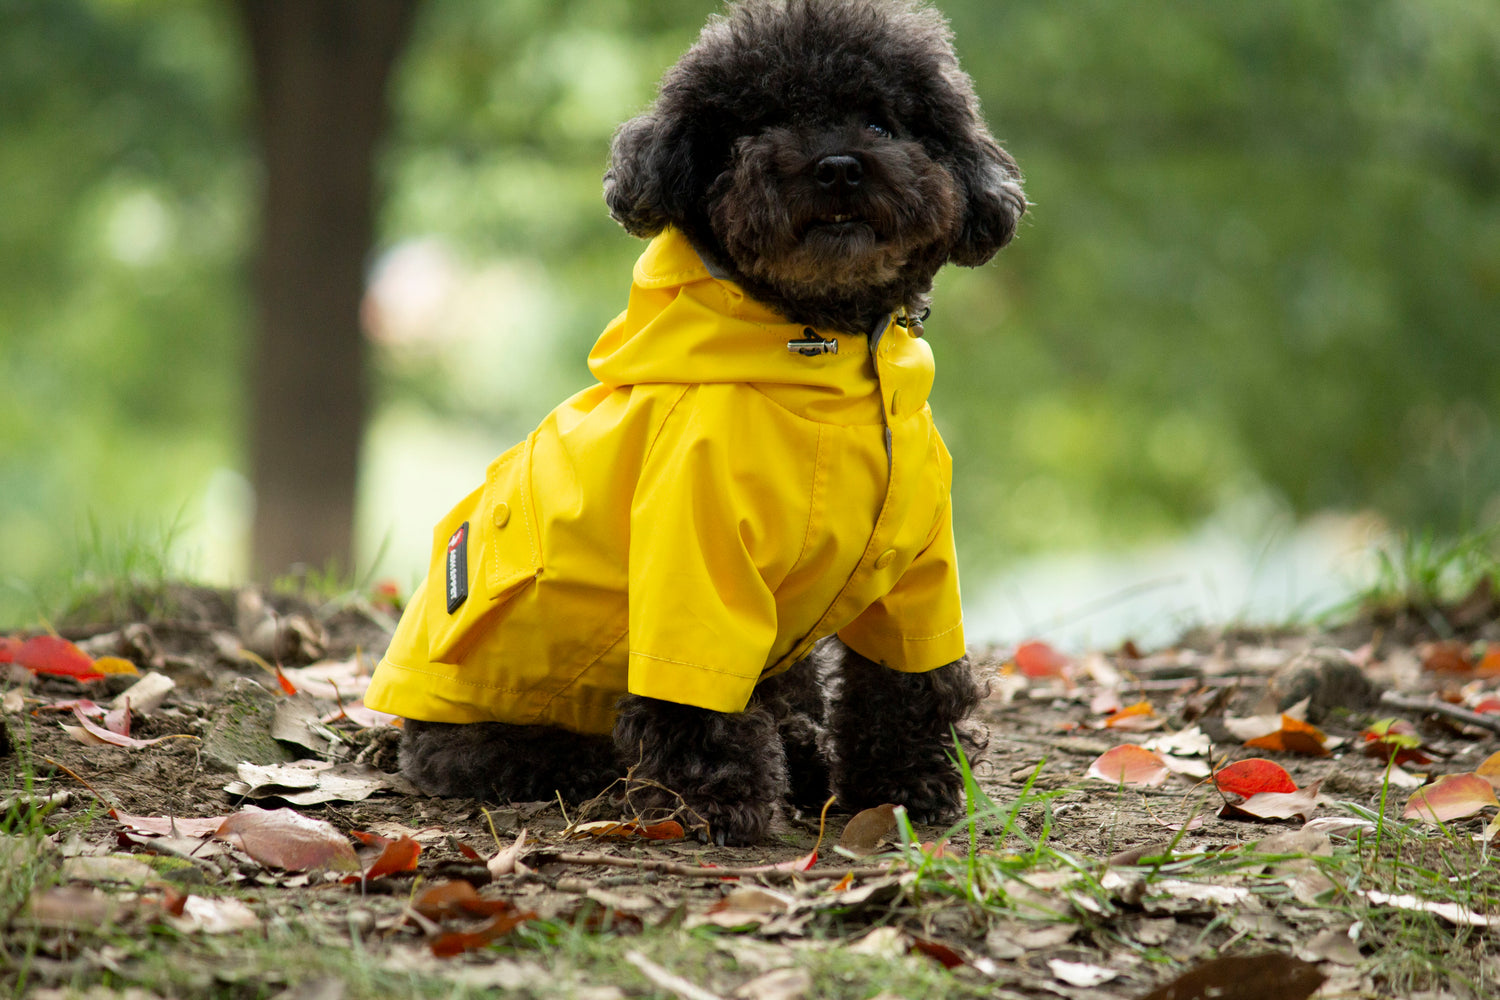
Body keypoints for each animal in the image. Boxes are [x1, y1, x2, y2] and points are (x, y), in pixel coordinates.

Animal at [402, 0, 1020, 845]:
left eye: (882, 121)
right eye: (760, 123)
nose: (838, 166)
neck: (833, 365)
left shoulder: (916, 569)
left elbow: (907, 678)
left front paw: (905, 788)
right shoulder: (692, 561)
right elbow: (692, 697)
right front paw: (718, 800)